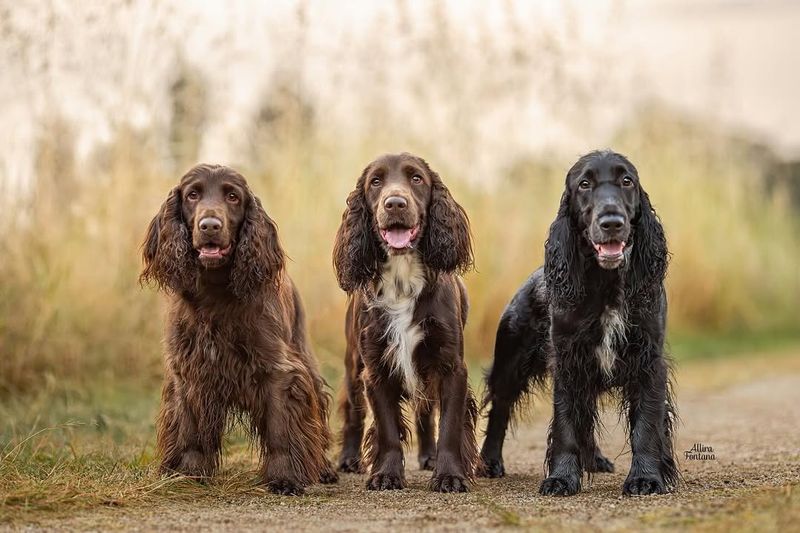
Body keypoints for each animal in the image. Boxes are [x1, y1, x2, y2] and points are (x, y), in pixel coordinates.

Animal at [141, 163, 334, 494]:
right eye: (192, 194)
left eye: (232, 196)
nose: (209, 225)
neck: (216, 292)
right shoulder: (188, 370)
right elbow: (189, 429)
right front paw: (187, 473)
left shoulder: (279, 370)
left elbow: (280, 429)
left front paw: (285, 478)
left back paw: (324, 468)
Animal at [332, 153, 478, 490]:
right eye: (375, 181)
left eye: (416, 178)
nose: (395, 203)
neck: (402, 280)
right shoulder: (376, 367)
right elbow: (387, 428)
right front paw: (386, 474)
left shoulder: (450, 365)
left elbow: (449, 425)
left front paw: (449, 475)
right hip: (353, 363)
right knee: (353, 412)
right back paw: (349, 458)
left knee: (425, 412)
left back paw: (429, 457)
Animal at [478, 149, 680, 494]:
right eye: (584, 184)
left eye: (627, 181)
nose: (611, 222)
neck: (607, 285)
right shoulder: (569, 361)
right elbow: (567, 424)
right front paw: (561, 478)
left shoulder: (648, 360)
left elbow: (646, 424)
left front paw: (646, 478)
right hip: (511, 360)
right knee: (501, 407)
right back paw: (490, 462)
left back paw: (594, 460)